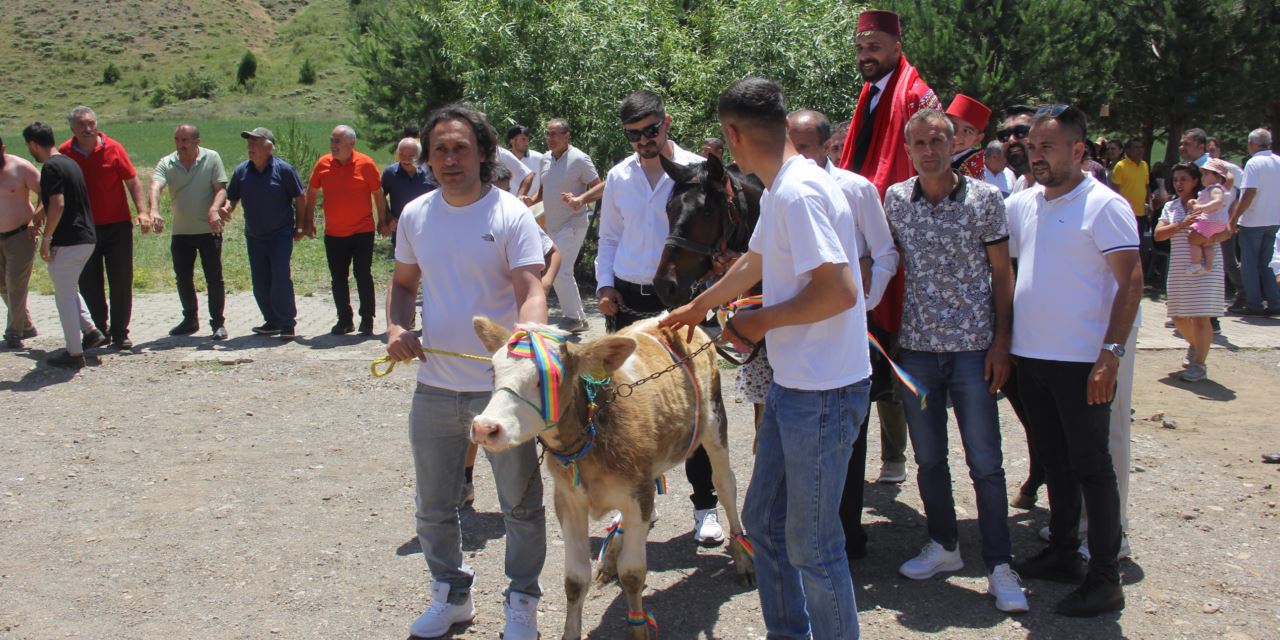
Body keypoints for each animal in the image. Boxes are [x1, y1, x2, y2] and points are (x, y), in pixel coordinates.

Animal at [468, 316, 747, 640]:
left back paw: (743, 557)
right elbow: (575, 578)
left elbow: (633, 573)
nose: (485, 428)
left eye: (547, 378)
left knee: (726, 484)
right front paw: (570, 632)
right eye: (493, 371)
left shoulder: (636, 494)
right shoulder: (568, 499)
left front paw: (638, 629)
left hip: (714, 421)